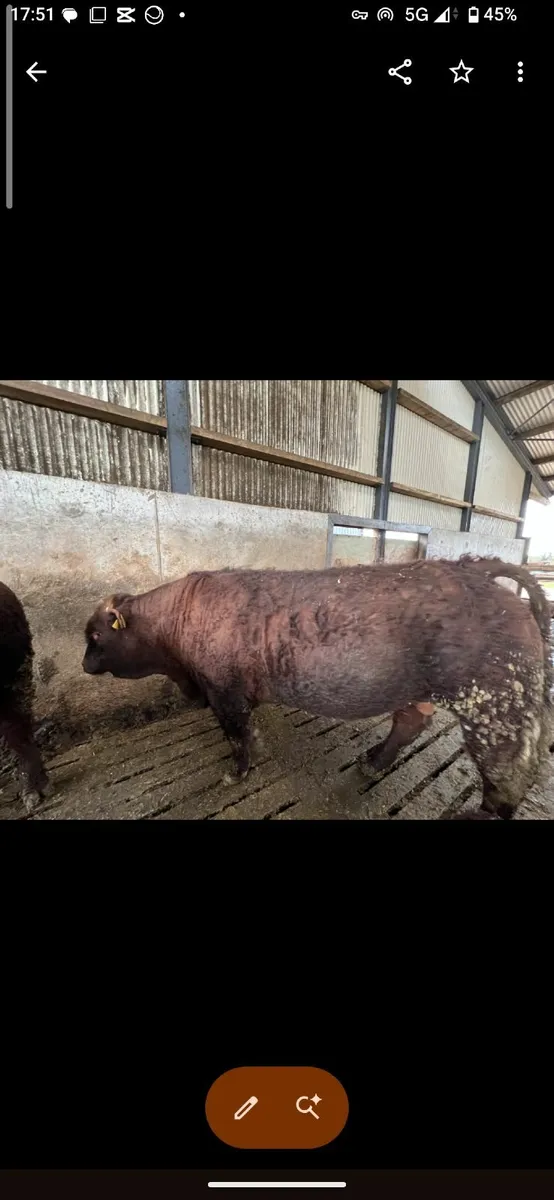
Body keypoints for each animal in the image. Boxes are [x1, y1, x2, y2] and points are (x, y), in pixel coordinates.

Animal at [82, 556, 553, 821]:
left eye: (96, 636)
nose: (84, 666)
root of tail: (472, 567)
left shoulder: (224, 692)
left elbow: (236, 736)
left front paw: (237, 773)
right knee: (409, 725)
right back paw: (372, 763)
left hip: (494, 707)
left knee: (509, 776)